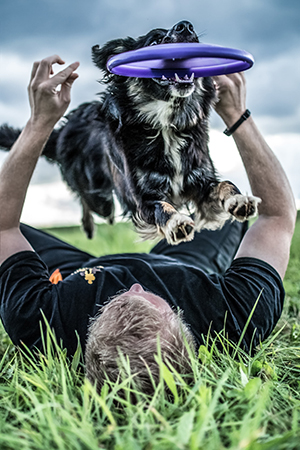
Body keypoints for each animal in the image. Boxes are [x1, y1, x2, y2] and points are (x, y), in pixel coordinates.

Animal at [0, 21, 260, 244]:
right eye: (154, 42)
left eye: (193, 37)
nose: (186, 25)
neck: (166, 124)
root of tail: (64, 130)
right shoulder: (143, 198)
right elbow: (161, 207)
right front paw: (176, 221)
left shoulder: (200, 178)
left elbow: (224, 184)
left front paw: (239, 199)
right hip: (98, 195)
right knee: (88, 201)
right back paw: (89, 226)